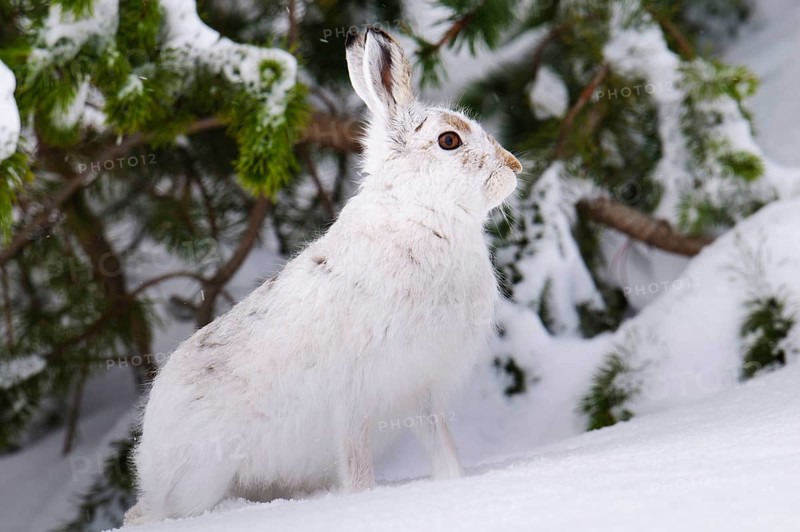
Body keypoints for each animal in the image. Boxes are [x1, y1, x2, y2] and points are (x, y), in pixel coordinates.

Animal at [124, 28, 522, 525]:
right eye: (449, 141)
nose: (514, 167)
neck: (421, 213)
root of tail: (150, 460)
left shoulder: (419, 387)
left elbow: (440, 445)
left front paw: (455, 483)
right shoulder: (353, 398)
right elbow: (356, 466)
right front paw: (365, 504)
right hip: (202, 476)